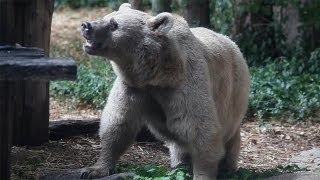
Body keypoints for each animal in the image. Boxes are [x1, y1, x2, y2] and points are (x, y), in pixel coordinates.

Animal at [80, 3, 250, 180]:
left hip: (233, 94)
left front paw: (202, 173)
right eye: (106, 17)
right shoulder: (133, 87)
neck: (158, 74)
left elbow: (199, 129)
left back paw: (228, 166)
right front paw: (93, 169)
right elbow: (118, 124)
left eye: (114, 24)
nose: (86, 26)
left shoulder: (185, 84)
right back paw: (180, 164)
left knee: (228, 134)